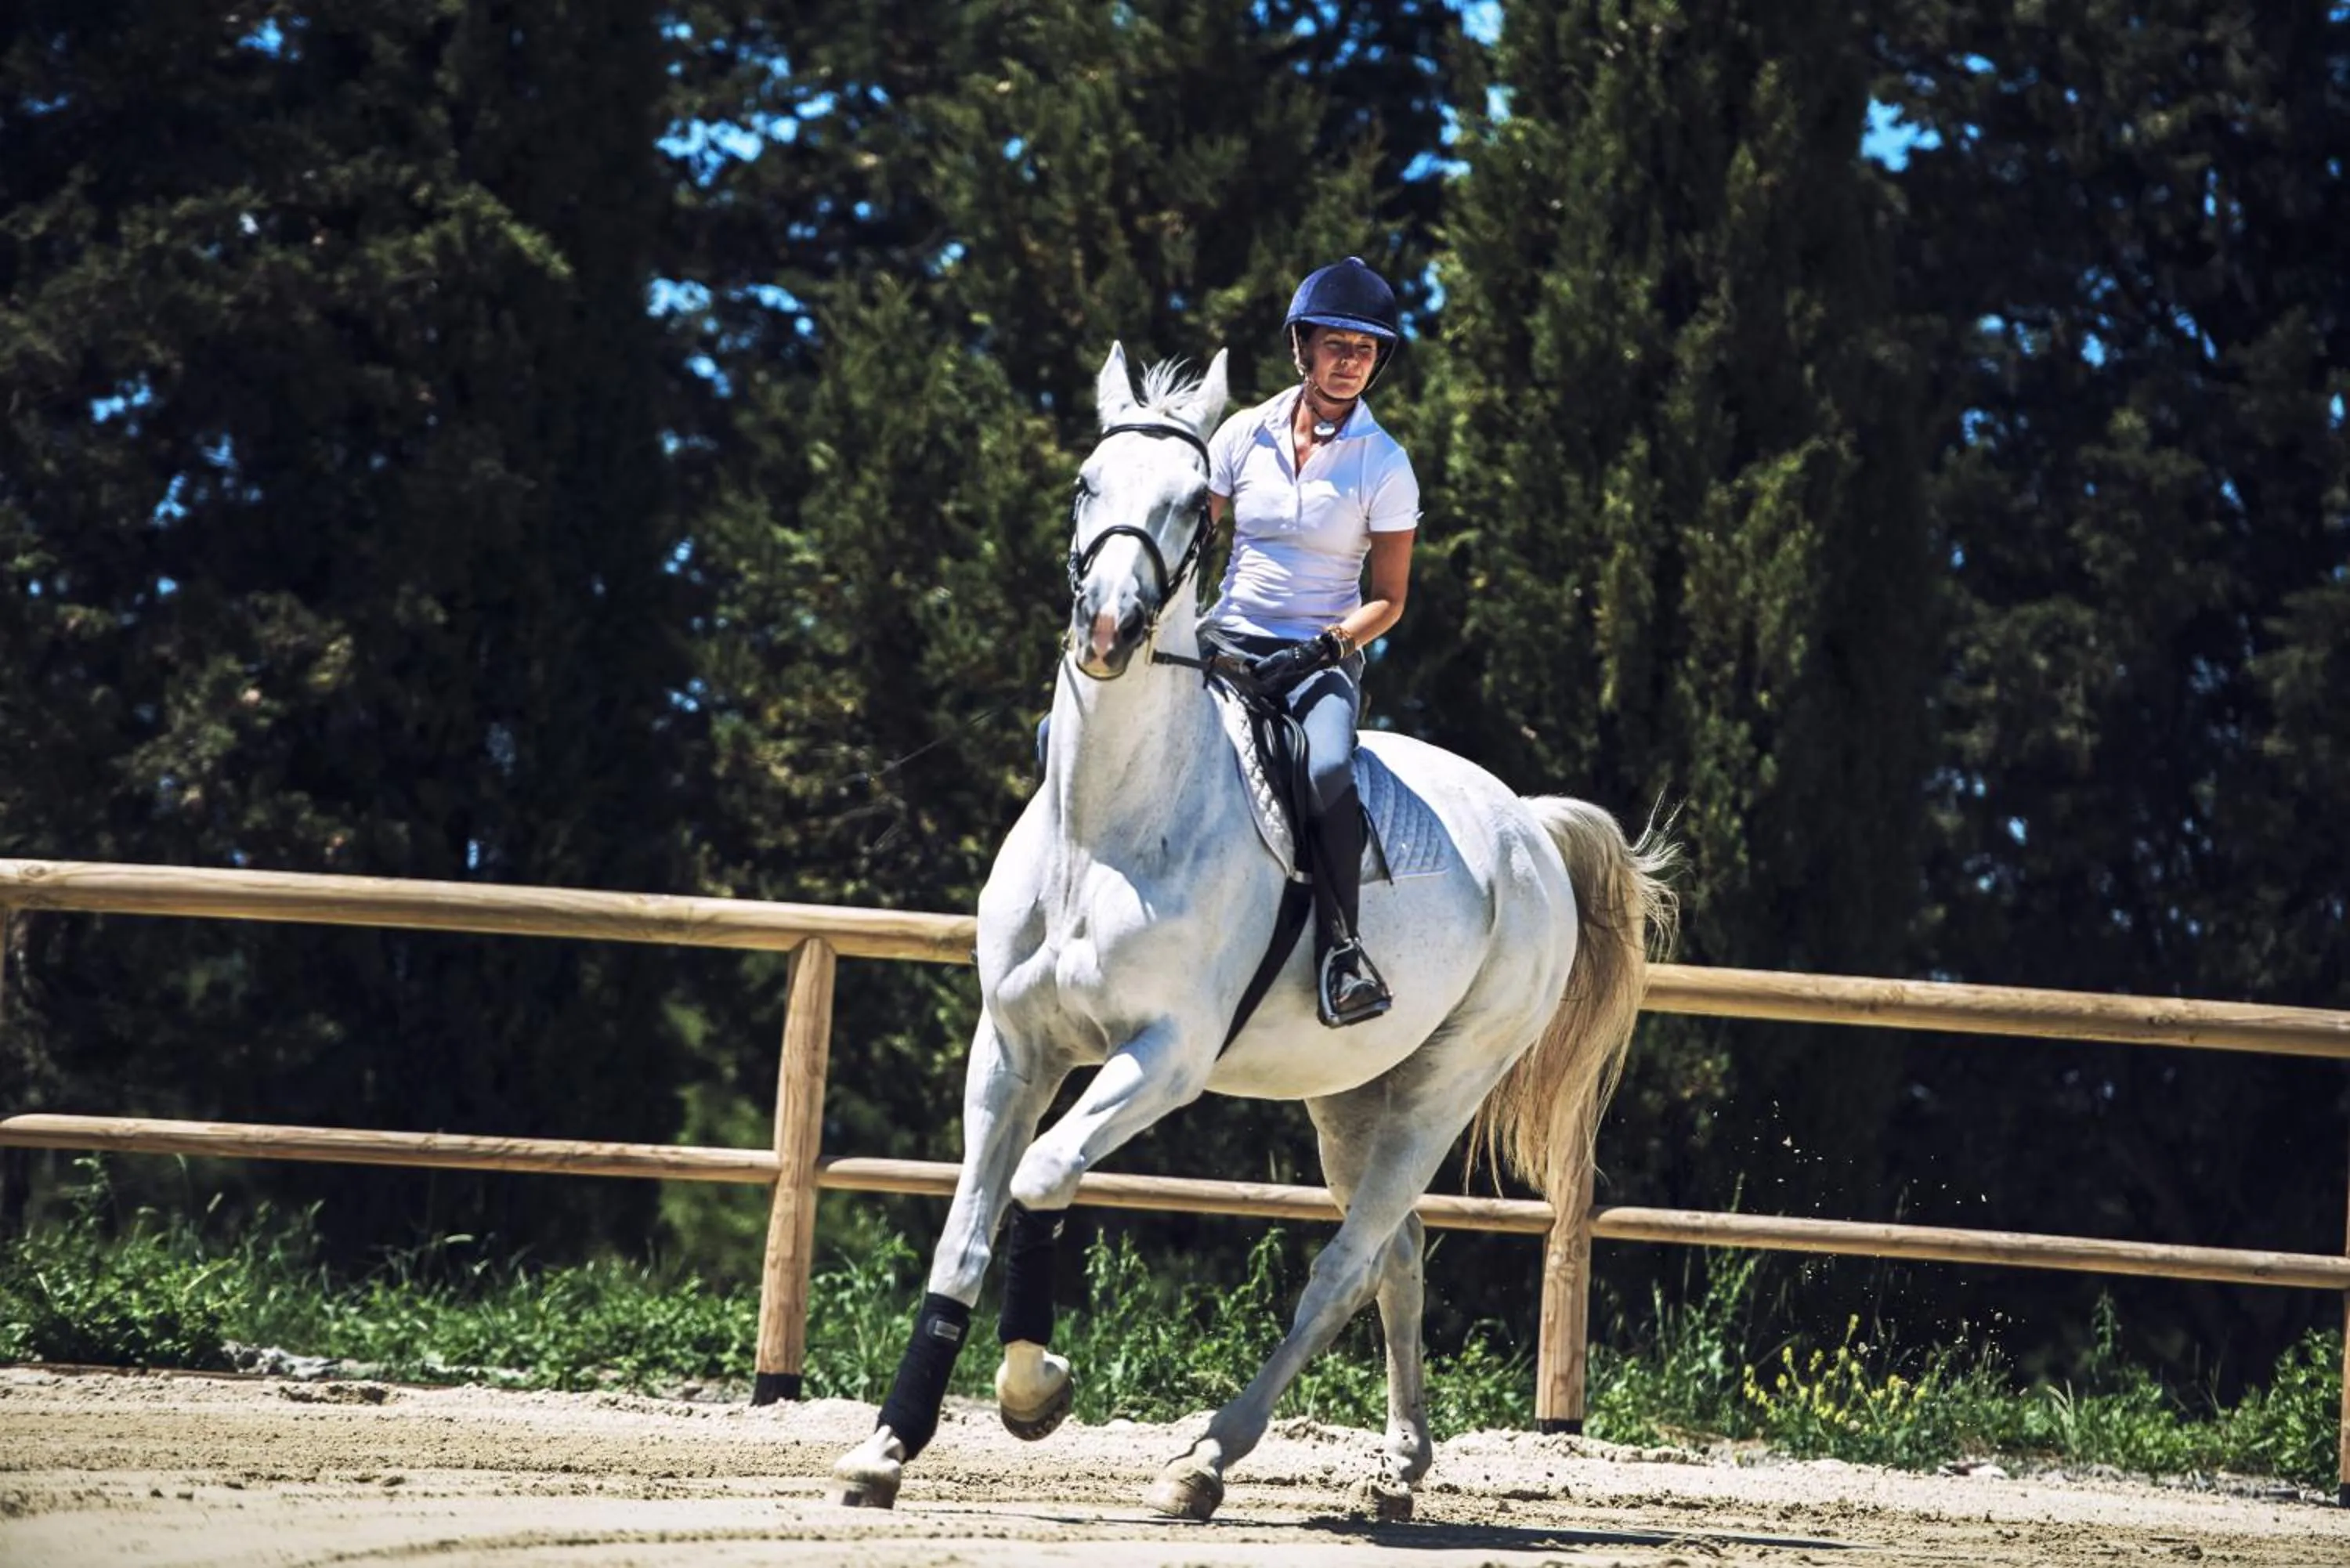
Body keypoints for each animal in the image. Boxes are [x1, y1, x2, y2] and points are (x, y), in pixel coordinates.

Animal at [829, 343, 1678, 1521]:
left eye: (1194, 504)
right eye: (1086, 484)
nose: (1108, 630)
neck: (1106, 828)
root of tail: (1527, 827)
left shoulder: (1164, 1057)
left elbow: (1043, 1180)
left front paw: (1035, 1391)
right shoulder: (1011, 1046)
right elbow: (963, 1233)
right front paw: (887, 1445)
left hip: (1445, 1083)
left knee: (1345, 1265)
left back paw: (1203, 1459)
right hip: (1351, 1096)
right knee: (1397, 1254)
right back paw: (1399, 1469)